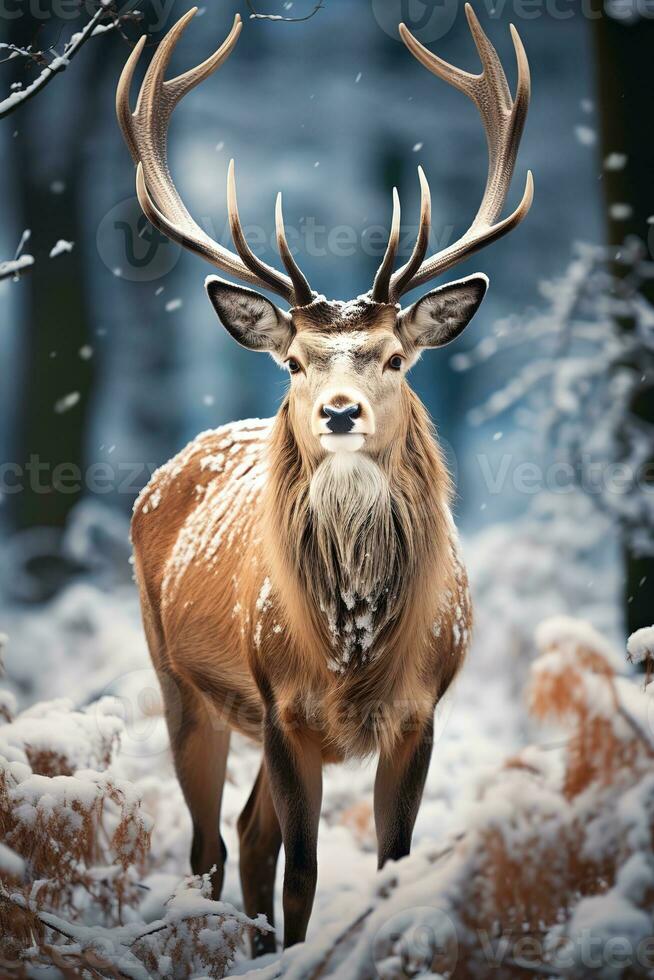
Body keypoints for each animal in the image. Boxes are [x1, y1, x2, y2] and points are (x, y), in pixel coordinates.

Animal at [118, 5, 532, 956]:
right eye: (296, 362)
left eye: (394, 356)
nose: (341, 412)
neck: (353, 650)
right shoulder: (283, 705)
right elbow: (304, 872)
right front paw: (298, 951)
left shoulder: (421, 710)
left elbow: (390, 863)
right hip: (180, 682)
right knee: (209, 845)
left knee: (245, 832)